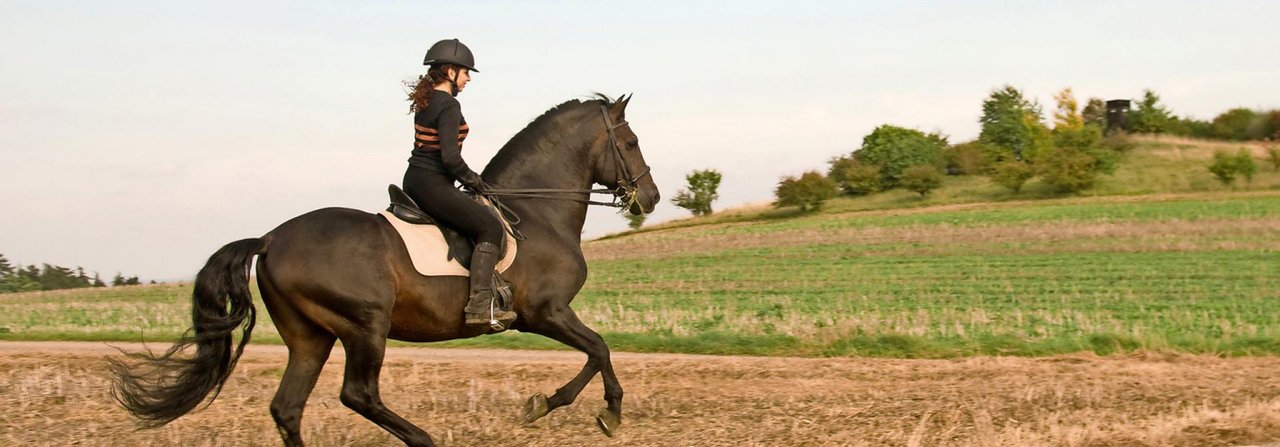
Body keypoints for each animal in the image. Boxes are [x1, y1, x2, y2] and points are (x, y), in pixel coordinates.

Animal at [108, 92, 660, 443]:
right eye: (631, 142)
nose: (650, 198)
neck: (536, 210)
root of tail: (270, 239)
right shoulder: (546, 312)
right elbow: (600, 349)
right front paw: (599, 412)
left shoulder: (548, 315)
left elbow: (595, 352)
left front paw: (554, 405)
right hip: (364, 326)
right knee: (358, 394)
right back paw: (424, 439)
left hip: (310, 336)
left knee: (288, 407)